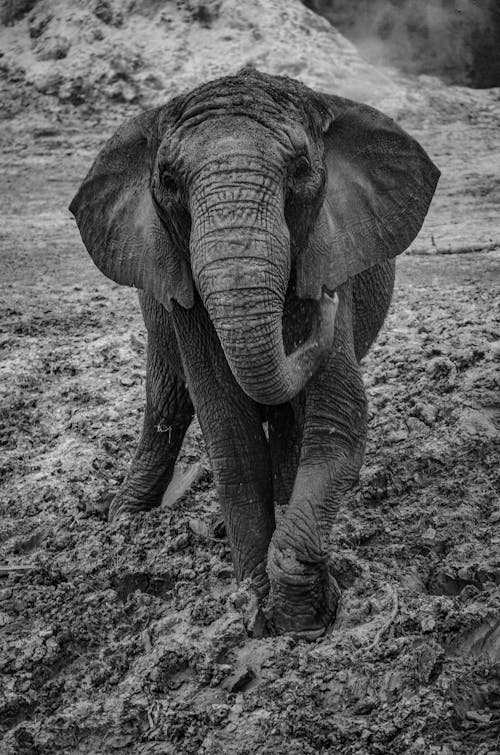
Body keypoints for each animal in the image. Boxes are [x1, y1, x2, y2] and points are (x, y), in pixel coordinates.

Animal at [69, 68, 438, 640]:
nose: (325, 305)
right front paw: (259, 610)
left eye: (302, 170)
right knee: (167, 401)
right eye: (168, 181)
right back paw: (124, 521)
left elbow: (336, 417)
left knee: (289, 424)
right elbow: (229, 431)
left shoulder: (330, 249)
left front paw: (301, 617)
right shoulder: (183, 289)